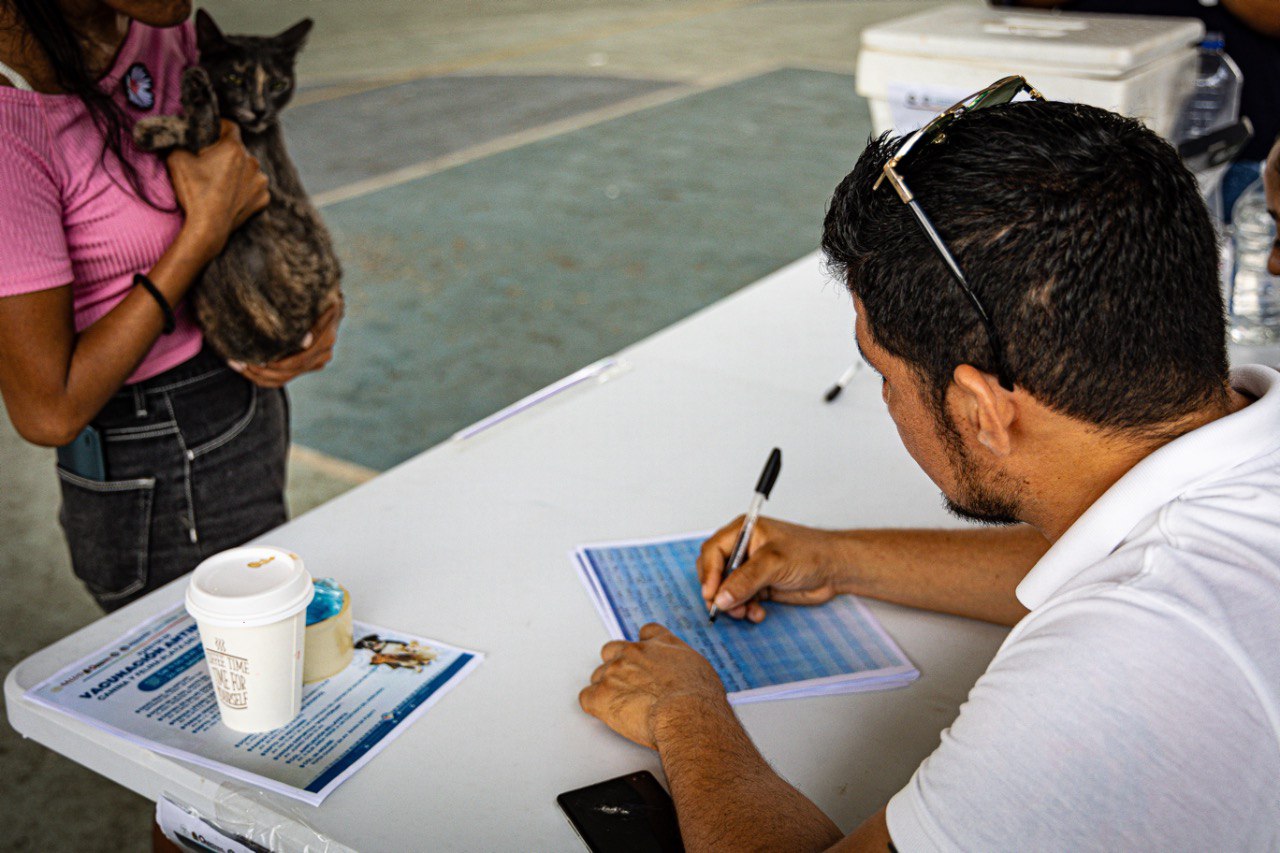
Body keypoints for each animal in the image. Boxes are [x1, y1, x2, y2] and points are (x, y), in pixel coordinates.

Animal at [133, 9, 340, 363]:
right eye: (234, 79)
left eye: (277, 84)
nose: (259, 109)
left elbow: (204, 128)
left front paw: (155, 127)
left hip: (264, 216)